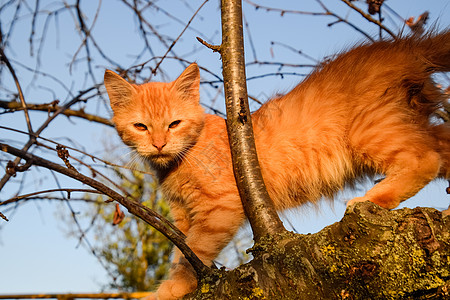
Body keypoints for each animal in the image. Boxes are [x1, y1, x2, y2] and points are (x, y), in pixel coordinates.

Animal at [104, 31, 450, 298]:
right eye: (141, 127)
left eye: (174, 124)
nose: (159, 144)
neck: (179, 162)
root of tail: (400, 47)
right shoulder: (183, 216)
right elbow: (181, 252)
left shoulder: (219, 208)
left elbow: (194, 253)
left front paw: (171, 289)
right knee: (442, 147)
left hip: (369, 132)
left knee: (426, 159)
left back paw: (371, 198)